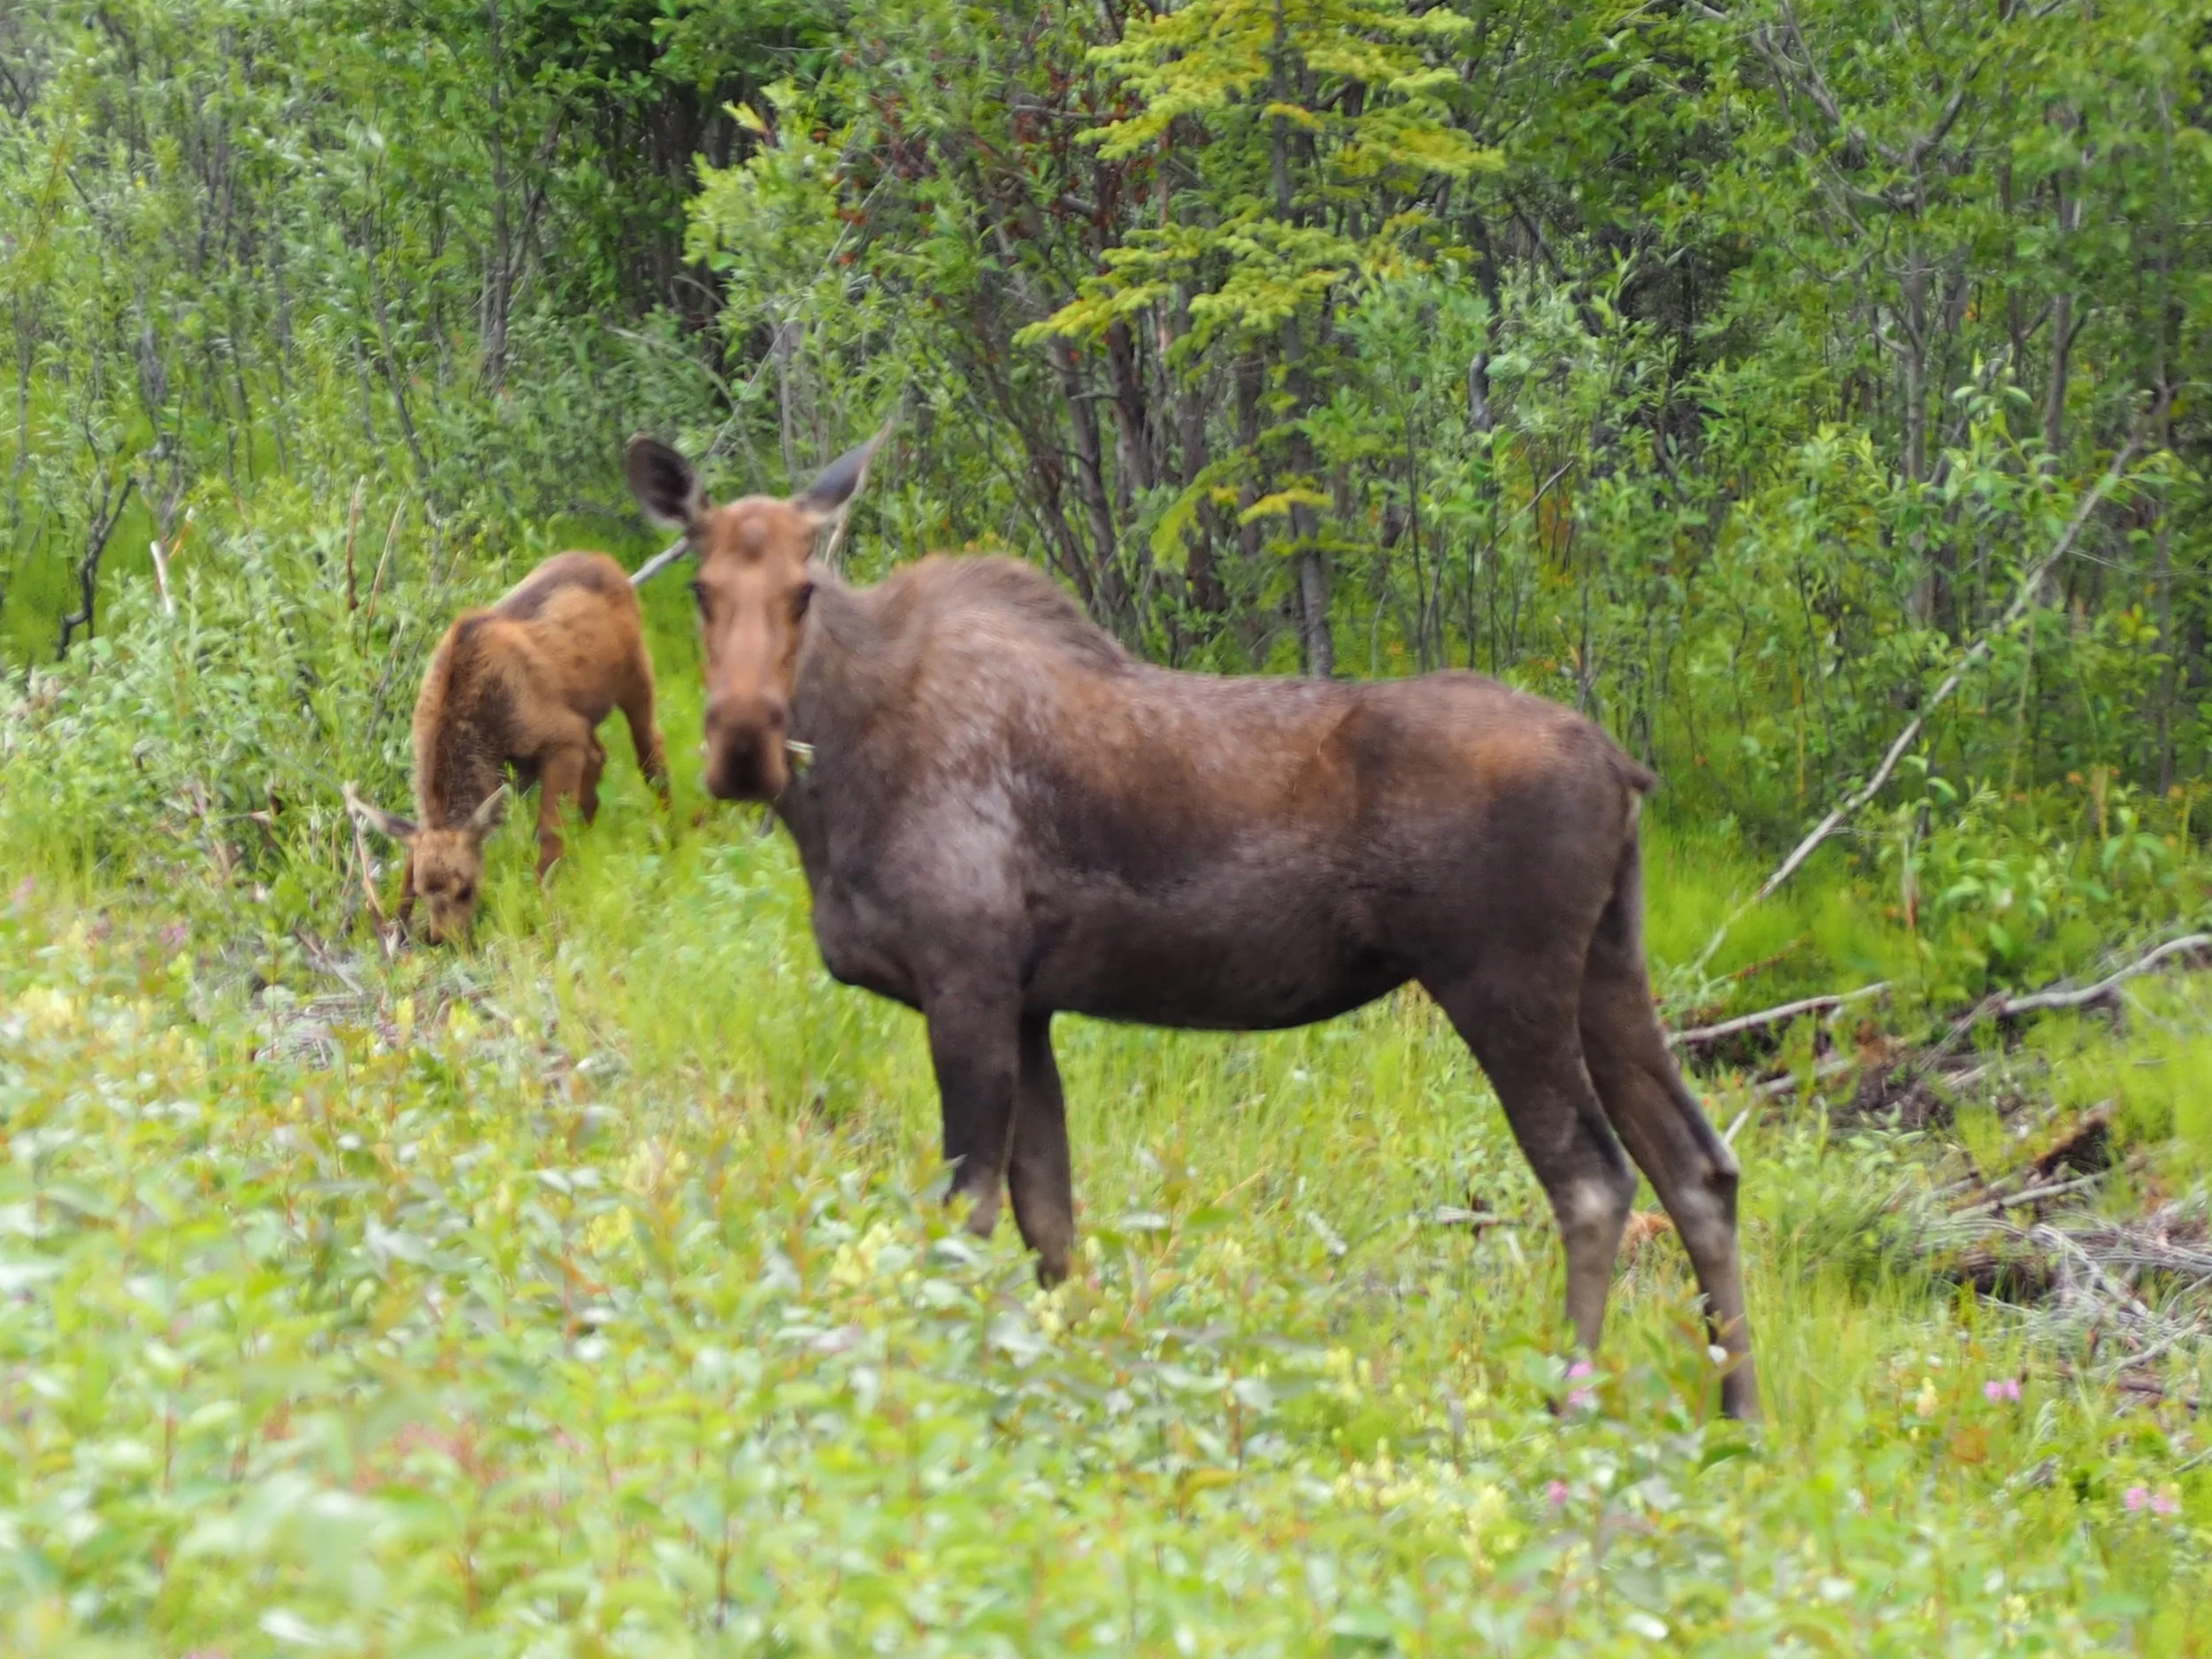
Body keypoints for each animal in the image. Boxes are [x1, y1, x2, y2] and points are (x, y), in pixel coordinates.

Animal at [348, 551, 669, 943]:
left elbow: (547, 835)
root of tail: (607, 560)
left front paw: (544, 910)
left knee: (650, 750)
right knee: (599, 757)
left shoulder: (560, 736)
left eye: (466, 889)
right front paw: (397, 927)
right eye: (422, 891)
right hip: (587, 713)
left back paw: (672, 833)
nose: (444, 940)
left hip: (636, 676)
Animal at [625, 431, 1758, 1419]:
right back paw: (1738, 1416)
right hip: (1609, 966)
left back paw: (1569, 1405)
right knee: (1698, 1169)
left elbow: (967, 1213)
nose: (740, 745)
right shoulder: (1029, 1005)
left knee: (1594, 1182)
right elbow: (1050, 1218)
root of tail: (1623, 770)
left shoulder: (968, 982)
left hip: (1501, 981)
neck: (831, 804)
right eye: (699, 588)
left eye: (803, 592)